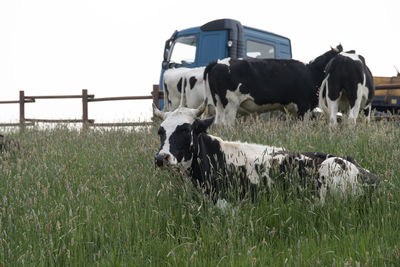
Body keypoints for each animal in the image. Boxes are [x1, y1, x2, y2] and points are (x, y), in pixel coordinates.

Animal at [205, 45, 342, 126]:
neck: (311, 71)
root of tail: (217, 62)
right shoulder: (304, 107)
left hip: (218, 103)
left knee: (218, 123)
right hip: (231, 104)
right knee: (227, 124)